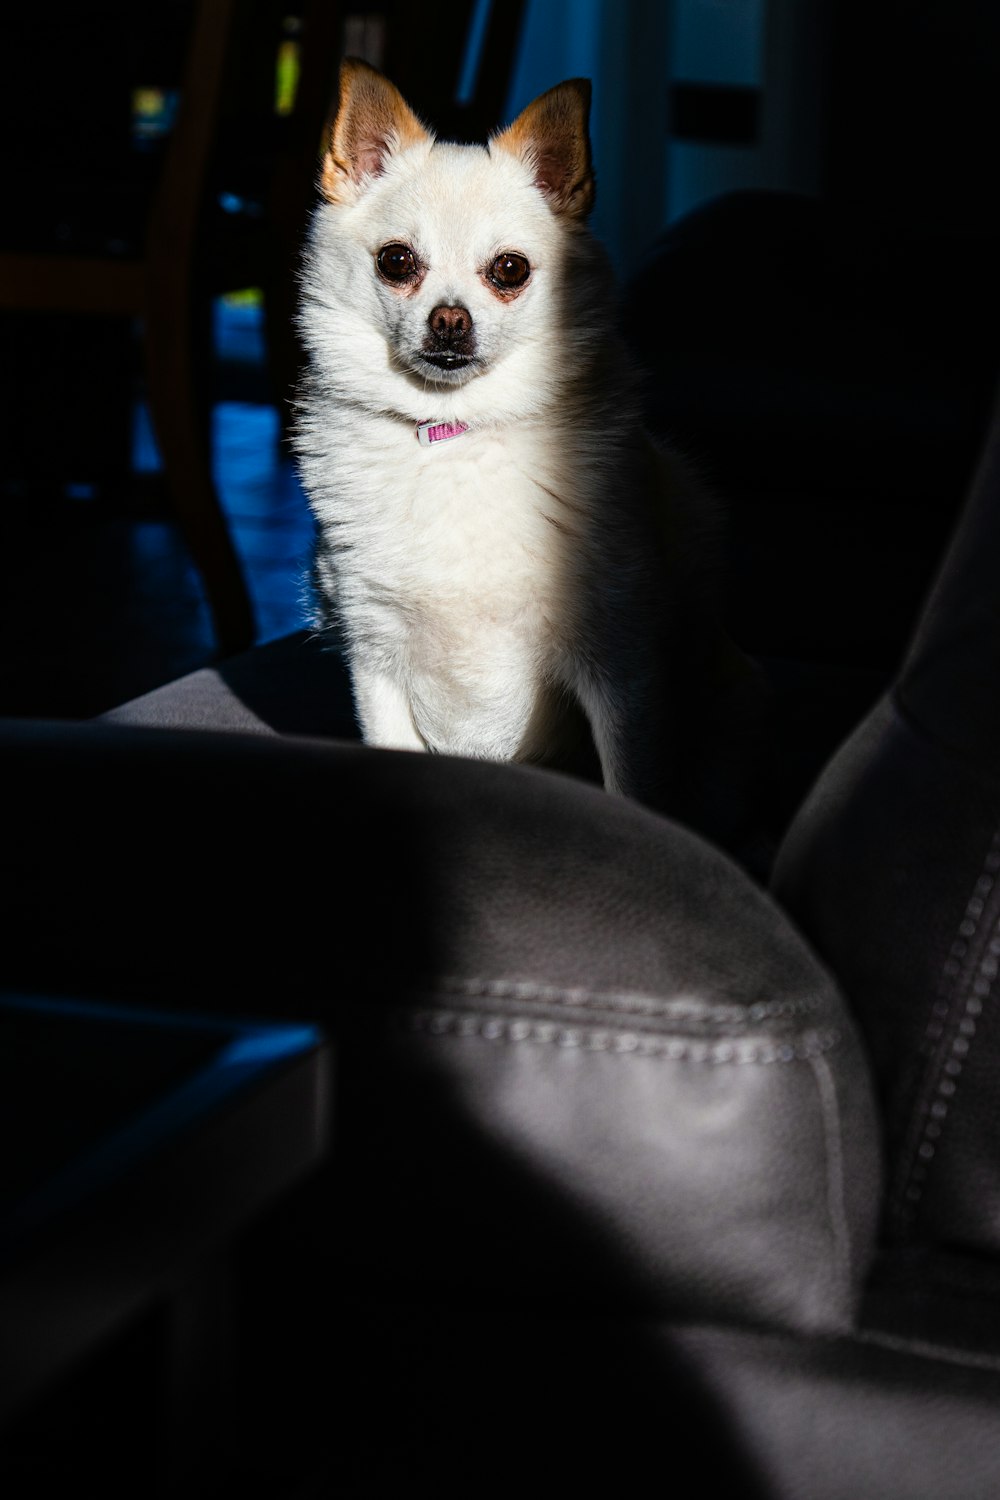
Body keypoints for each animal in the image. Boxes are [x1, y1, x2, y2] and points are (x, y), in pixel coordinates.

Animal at [293, 55, 761, 834]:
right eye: (397, 262)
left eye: (509, 270)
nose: (450, 321)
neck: (455, 436)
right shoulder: (374, 657)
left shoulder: (621, 670)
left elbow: (633, 785)